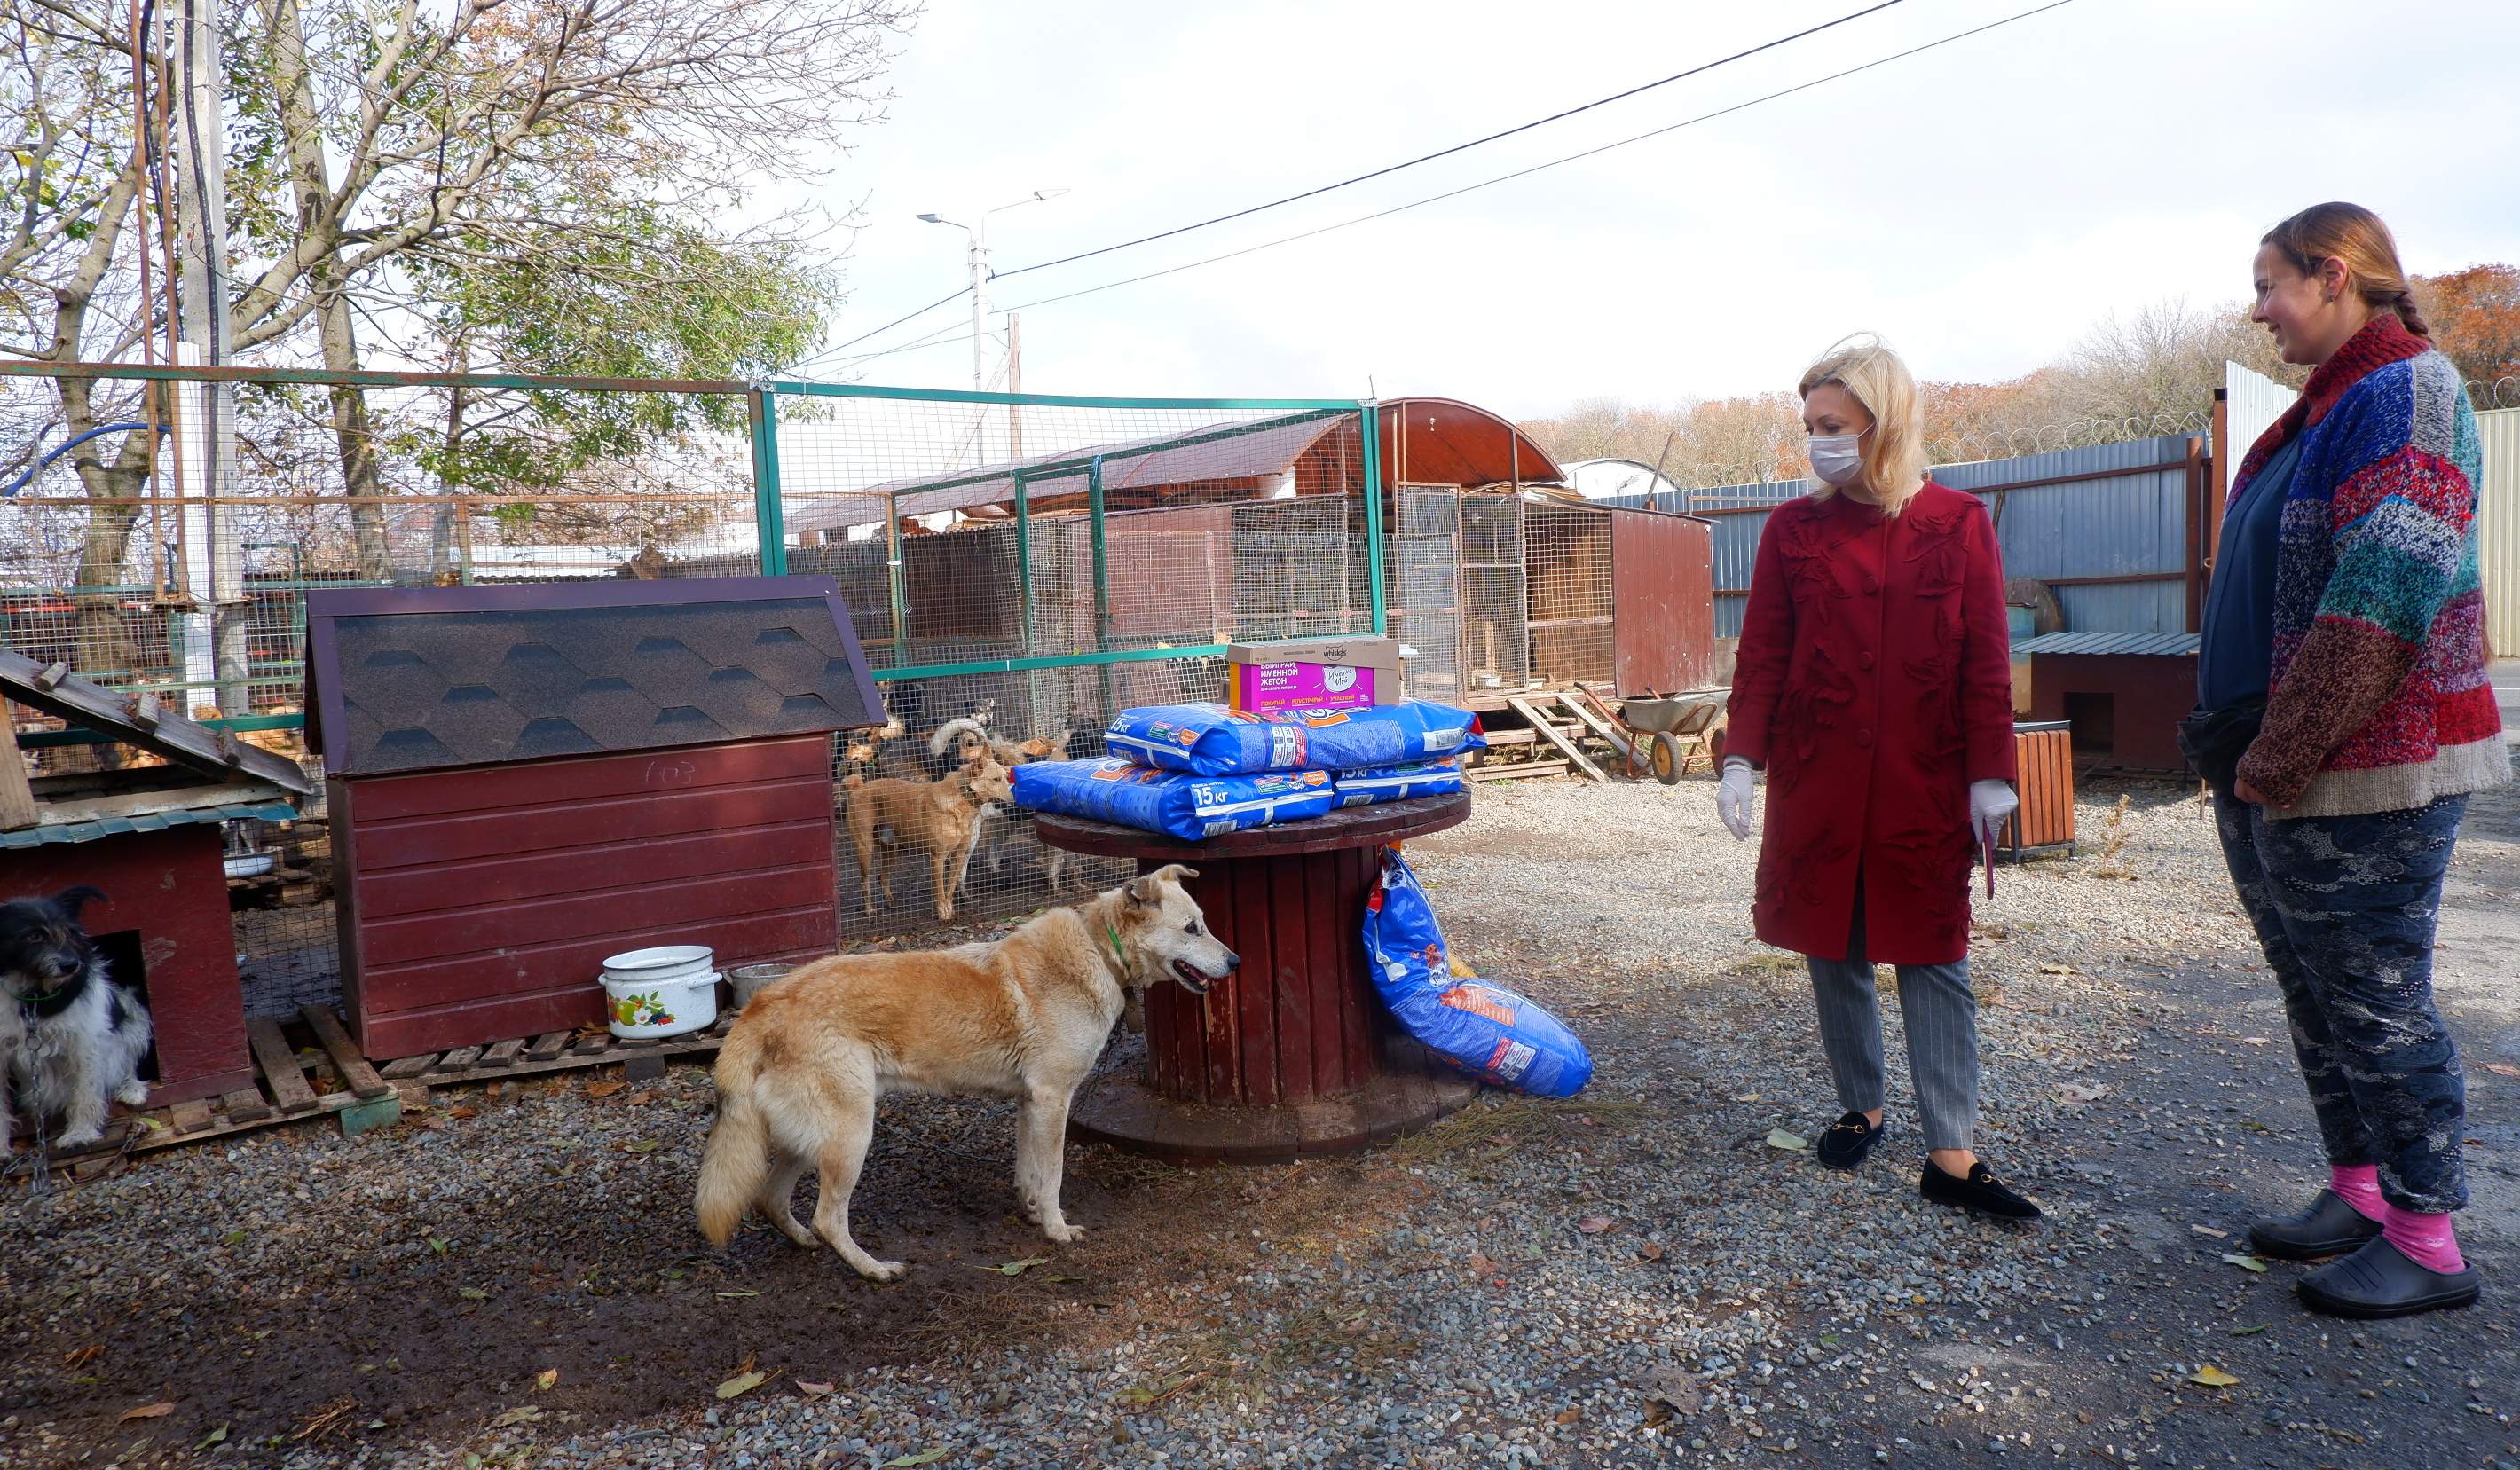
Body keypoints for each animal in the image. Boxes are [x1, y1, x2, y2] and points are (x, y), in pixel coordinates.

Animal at [0, 892, 152, 1154]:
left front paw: (80, 1133)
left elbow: (85, 1091)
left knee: (128, 1063)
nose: (71, 965)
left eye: (69, 932)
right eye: (33, 936)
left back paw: (131, 1089)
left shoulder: (85, 1042)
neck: (33, 997)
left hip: (132, 1010)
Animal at [695, 867, 1234, 1280]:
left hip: (810, 1138)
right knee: (829, 1217)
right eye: (1192, 929)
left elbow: (1029, 1172)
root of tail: (762, 1005)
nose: (1235, 960)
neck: (1099, 950)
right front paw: (1057, 1230)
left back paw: (807, 1242)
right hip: (849, 1135)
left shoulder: (1031, 1102)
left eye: (1206, 924)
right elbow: (1054, 1175)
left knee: (771, 1198)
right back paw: (873, 1269)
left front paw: (1033, 1212)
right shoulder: (1052, 1099)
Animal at [841, 746, 1008, 917]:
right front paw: (943, 914)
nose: (1012, 798)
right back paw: (869, 910)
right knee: (865, 882)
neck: (961, 798)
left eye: (1006, 776)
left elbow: (950, 889)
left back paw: (892, 904)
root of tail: (859, 787)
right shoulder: (938, 857)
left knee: (882, 878)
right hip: (865, 849)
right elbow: (940, 891)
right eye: (996, 779)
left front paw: (950, 911)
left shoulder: (959, 855)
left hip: (890, 848)